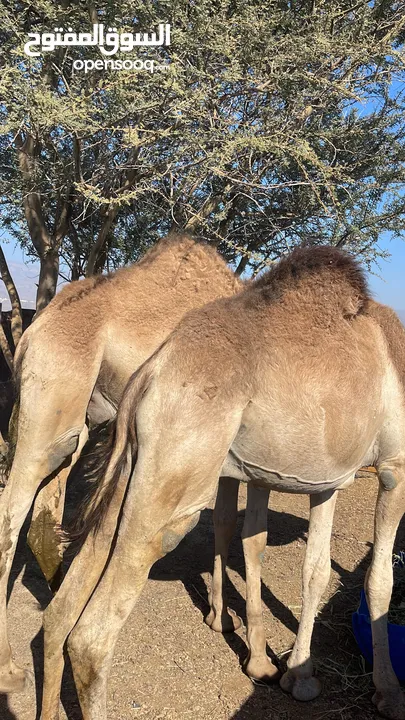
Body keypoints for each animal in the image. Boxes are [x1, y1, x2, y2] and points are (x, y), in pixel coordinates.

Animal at [0, 236, 241, 696]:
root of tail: (34, 329)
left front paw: (221, 617)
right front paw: (227, 620)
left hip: (78, 421)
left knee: (42, 515)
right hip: (54, 400)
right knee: (11, 513)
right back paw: (8, 668)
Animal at [40, 243, 404, 720]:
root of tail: (151, 372)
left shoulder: (328, 481)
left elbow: (316, 572)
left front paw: (300, 676)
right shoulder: (395, 467)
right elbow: (379, 582)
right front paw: (389, 692)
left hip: (133, 474)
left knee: (58, 614)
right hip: (175, 481)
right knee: (90, 639)